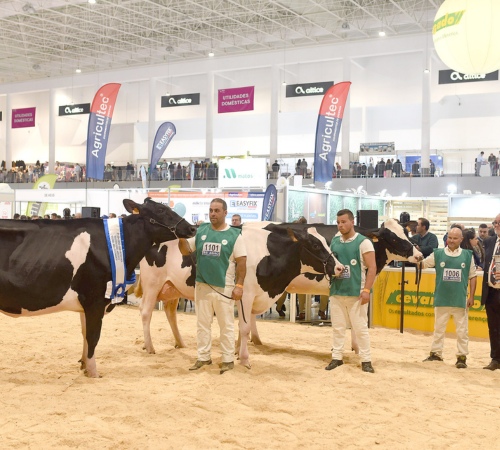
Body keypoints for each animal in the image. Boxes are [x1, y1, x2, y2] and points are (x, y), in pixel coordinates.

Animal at [0, 199, 195, 378]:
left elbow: (85, 333)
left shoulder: (86, 305)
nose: (192, 228)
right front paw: (94, 373)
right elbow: (93, 336)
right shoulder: (95, 300)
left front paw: (84, 365)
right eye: (161, 210)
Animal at [134, 218, 422, 370]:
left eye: (406, 233)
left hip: (172, 287)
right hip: (151, 283)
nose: (420, 255)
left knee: (170, 312)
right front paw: (244, 357)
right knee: (146, 313)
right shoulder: (246, 294)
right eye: (395, 238)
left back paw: (181, 343)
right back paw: (150, 347)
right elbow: (244, 327)